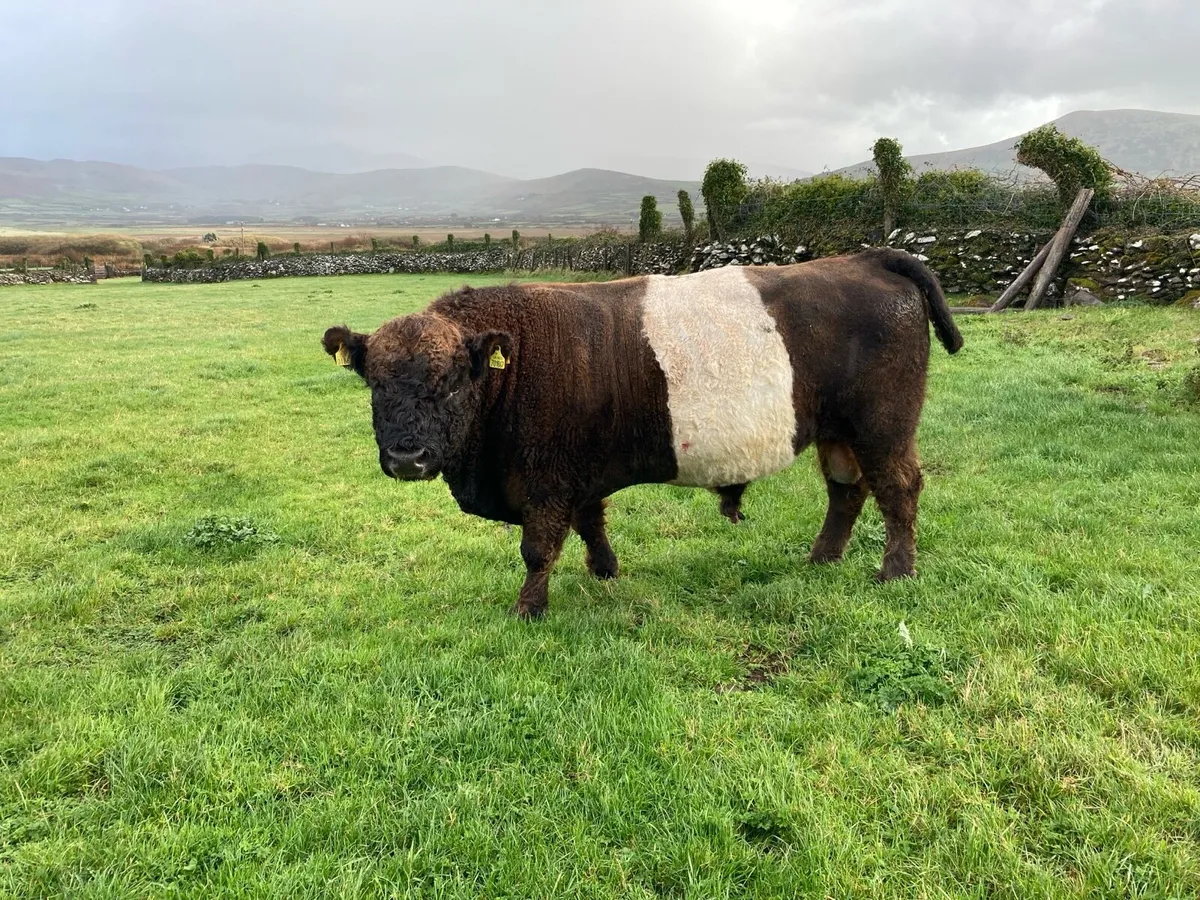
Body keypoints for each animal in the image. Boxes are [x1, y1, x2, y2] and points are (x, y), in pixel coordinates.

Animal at [322, 249, 963, 618]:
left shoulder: (546, 477)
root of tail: (866, 258)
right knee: (846, 490)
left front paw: (529, 609)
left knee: (898, 489)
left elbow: (538, 547)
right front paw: (605, 571)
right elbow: (590, 522)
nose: (407, 456)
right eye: (375, 384)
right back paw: (823, 559)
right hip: (838, 431)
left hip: (883, 425)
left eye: (454, 383)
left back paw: (895, 571)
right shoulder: (578, 471)